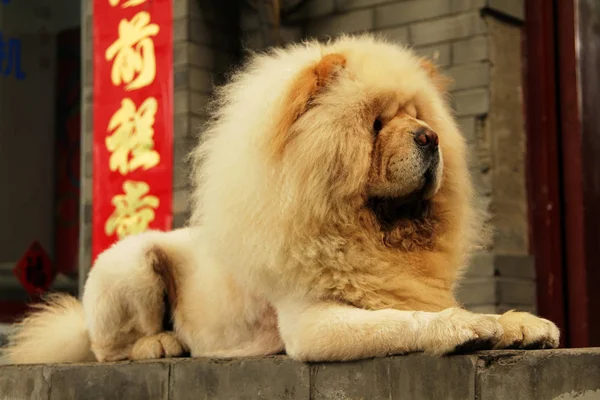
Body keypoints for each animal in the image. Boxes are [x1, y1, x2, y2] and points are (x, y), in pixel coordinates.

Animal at [4, 35, 560, 366]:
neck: (369, 232)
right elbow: (401, 321)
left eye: (418, 115)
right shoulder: (313, 322)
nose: (430, 137)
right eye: (377, 124)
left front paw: (521, 324)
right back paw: (162, 343)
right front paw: (465, 326)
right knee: (106, 348)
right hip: (132, 265)